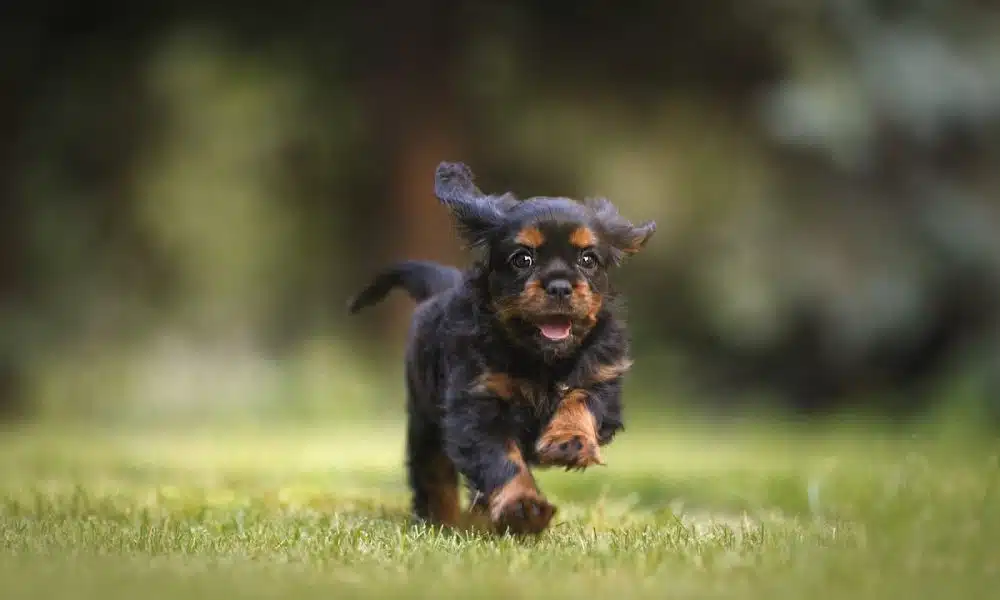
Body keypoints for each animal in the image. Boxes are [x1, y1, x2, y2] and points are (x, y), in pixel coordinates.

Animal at [346, 161, 656, 536]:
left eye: (588, 259)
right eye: (522, 259)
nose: (559, 286)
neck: (541, 359)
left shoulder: (602, 378)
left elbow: (580, 400)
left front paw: (569, 441)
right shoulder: (477, 405)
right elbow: (502, 460)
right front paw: (522, 507)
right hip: (426, 420)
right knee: (433, 474)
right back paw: (444, 521)